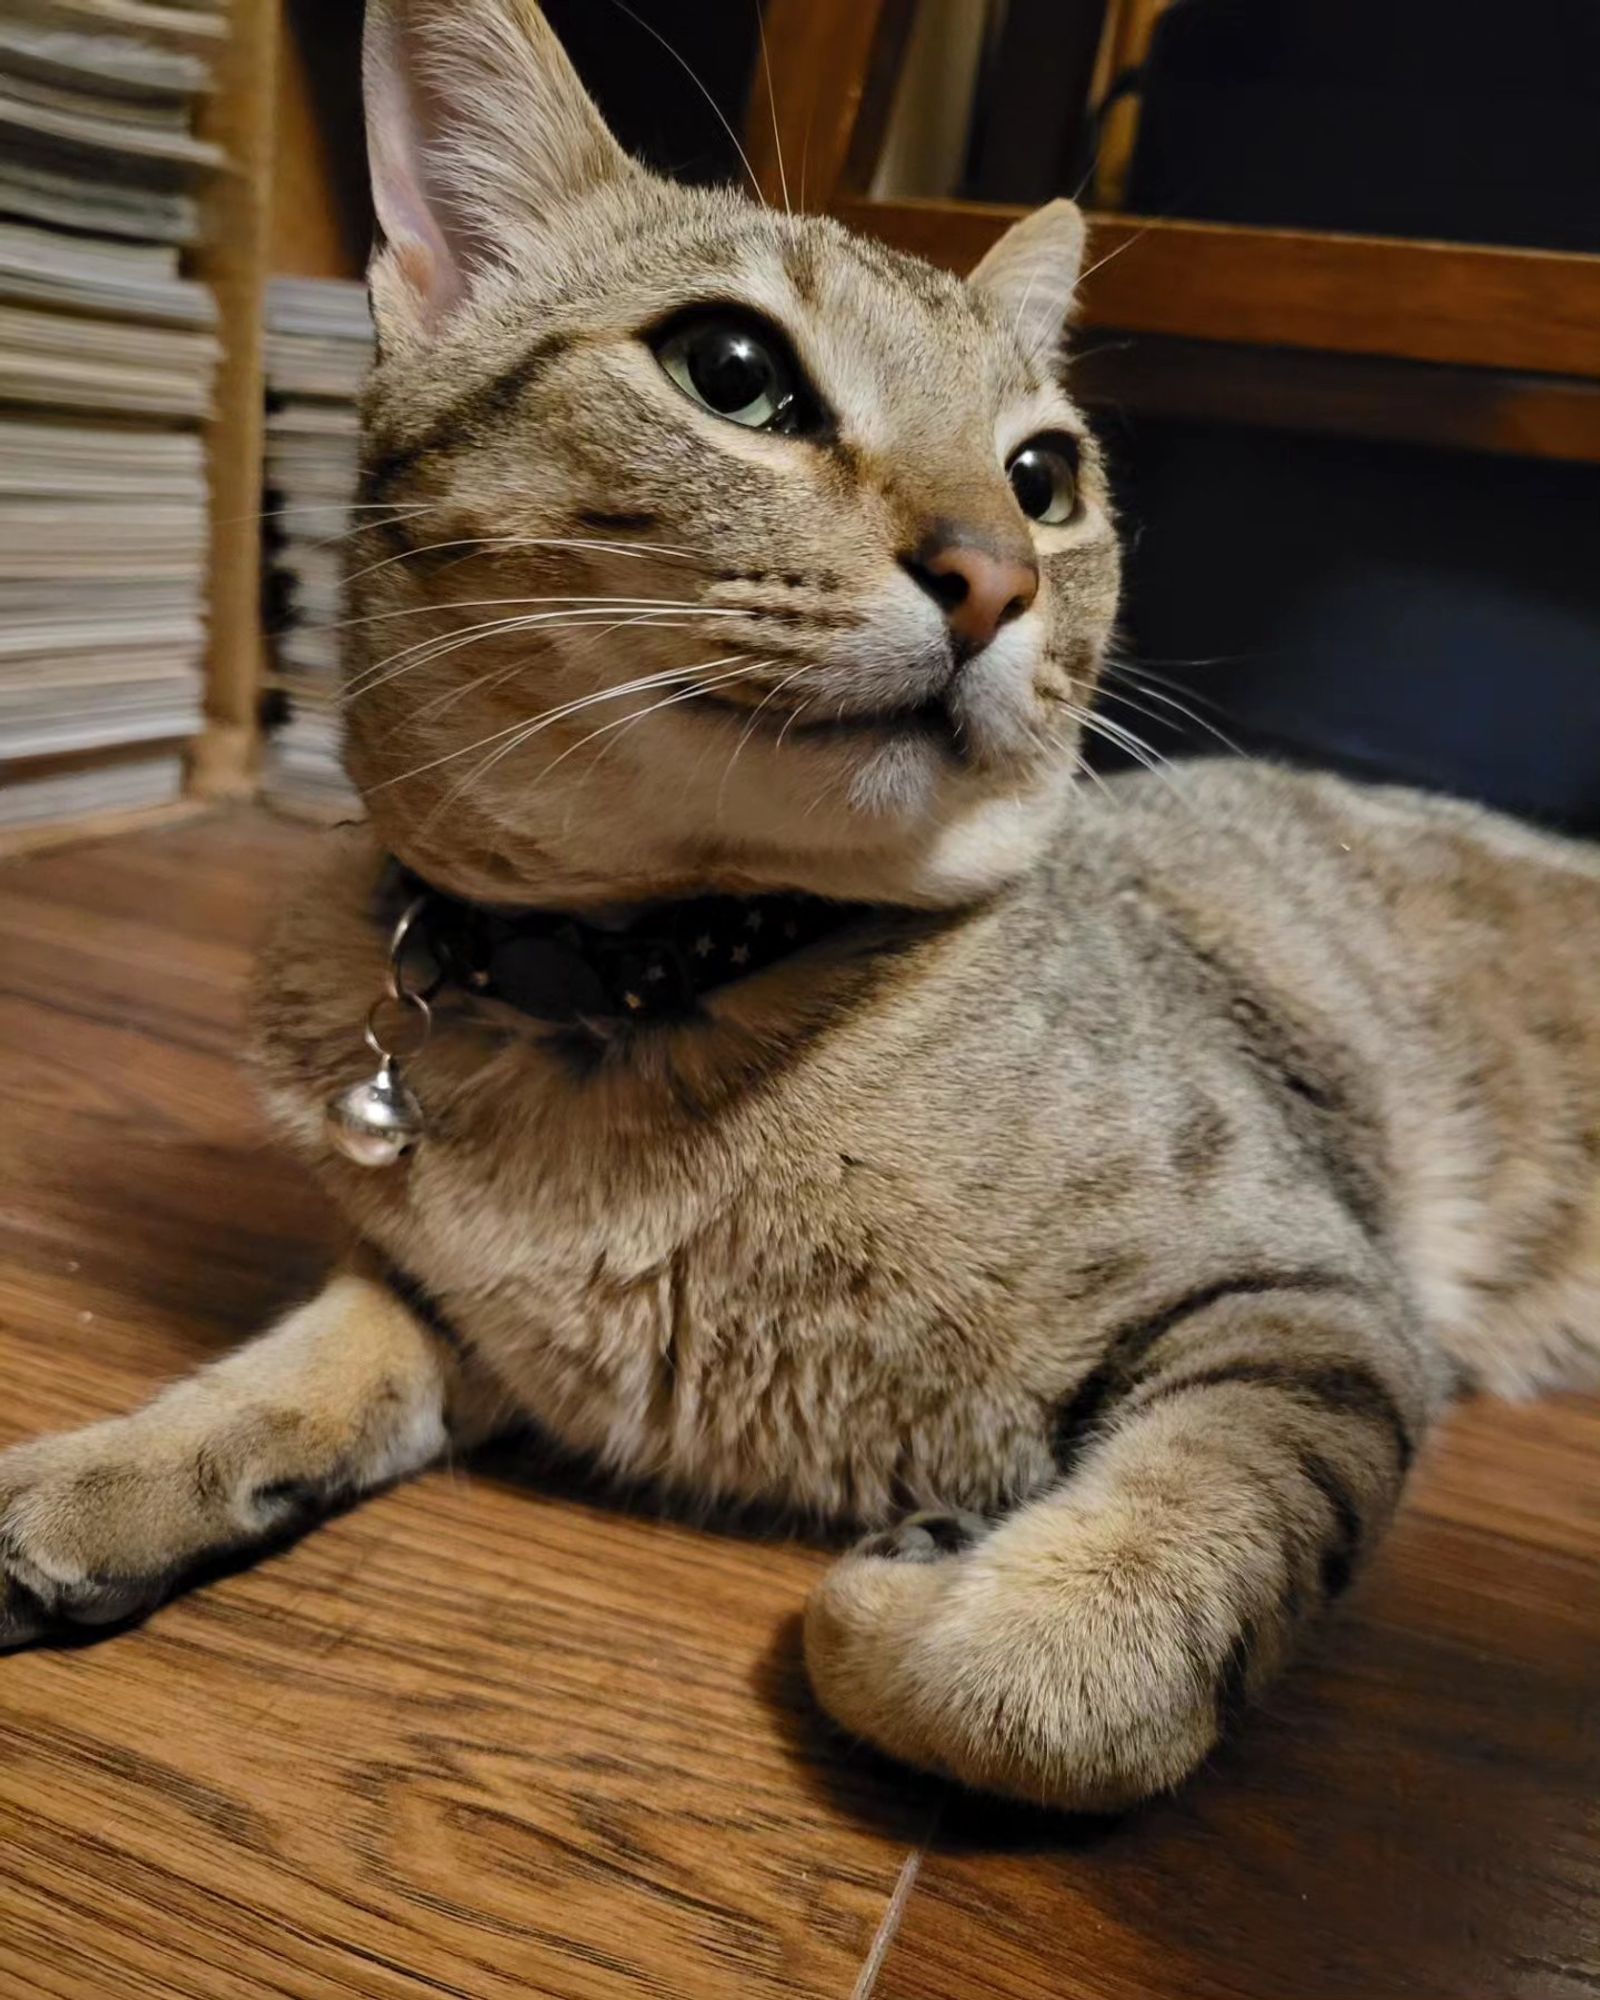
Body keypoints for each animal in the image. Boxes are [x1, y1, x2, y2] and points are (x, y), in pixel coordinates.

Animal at [3, 0, 1600, 1816]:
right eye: (733, 372)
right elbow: (317, 1351)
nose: (999, 573)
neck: (634, 986)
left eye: (1045, 474)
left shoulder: (1310, 1303)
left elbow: (1061, 1664)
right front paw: (118, 1471)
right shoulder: (463, 1304)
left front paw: (925, 1590)